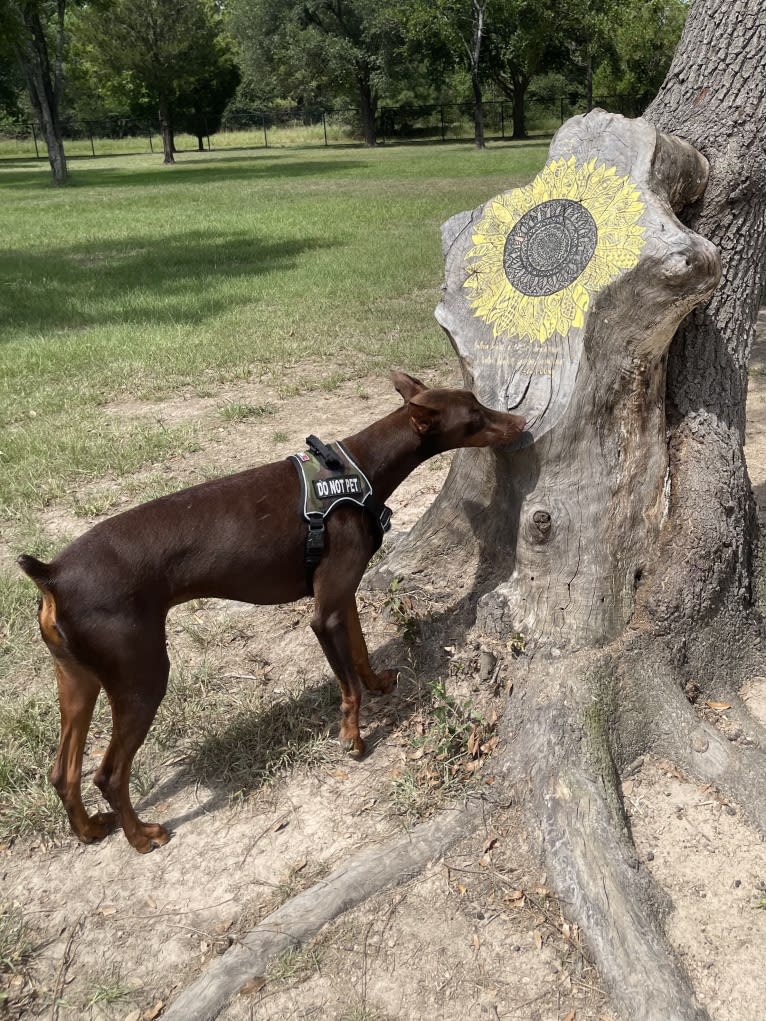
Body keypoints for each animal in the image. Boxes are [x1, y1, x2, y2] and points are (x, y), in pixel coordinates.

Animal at [18, 375, 527, 853]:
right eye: (475, 415)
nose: (522, 422)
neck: (360, 470)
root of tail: (53, 575)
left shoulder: (341, 598)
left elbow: (361, 652)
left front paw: (379, 682)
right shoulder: (323, 616)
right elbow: (348, 686)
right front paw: (353, 737)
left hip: (76, 678)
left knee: (62, 772)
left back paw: (88, 830)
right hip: (140, 677)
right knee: (108, 775)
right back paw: (142, 836)